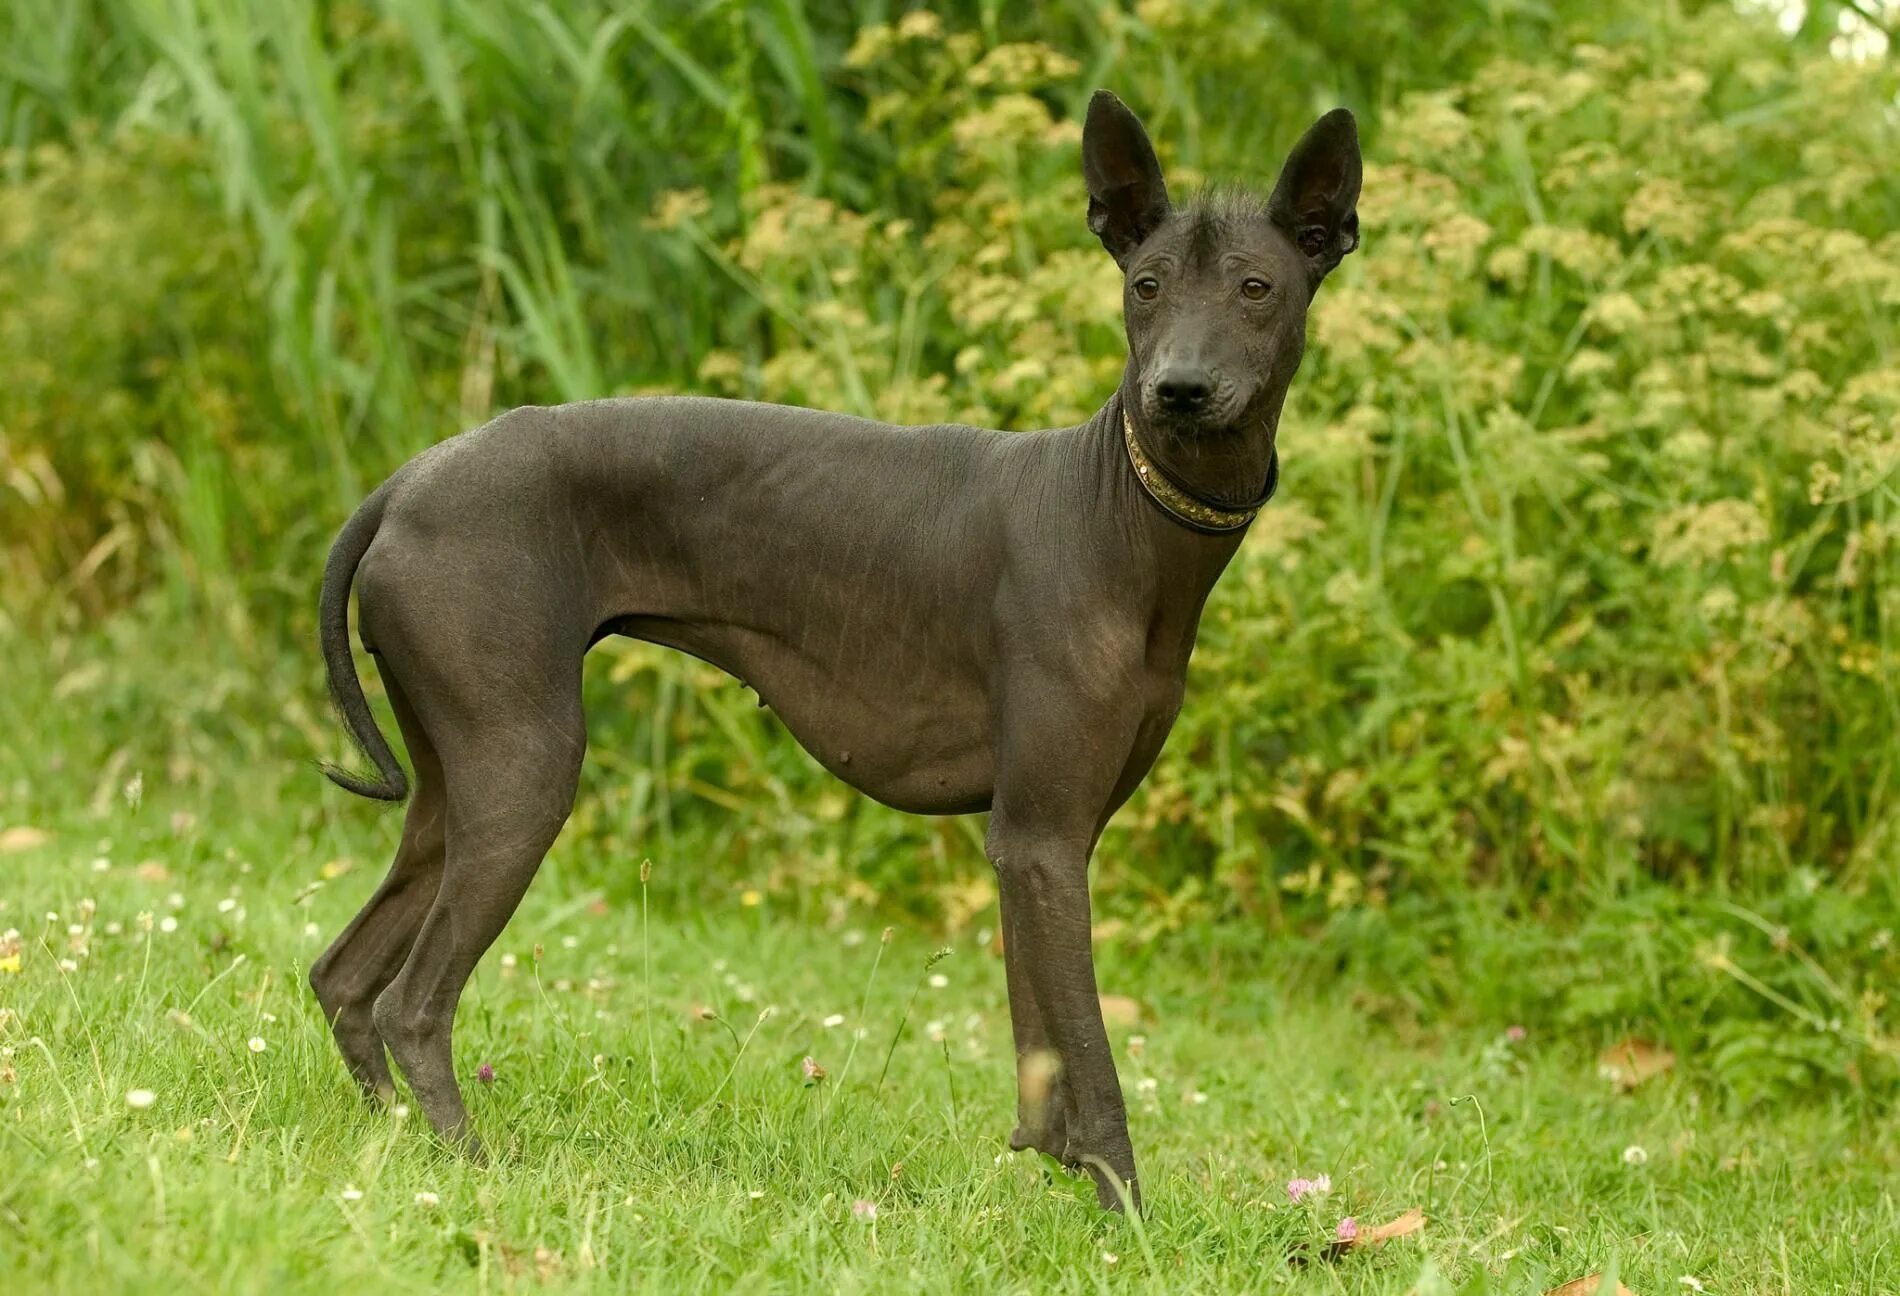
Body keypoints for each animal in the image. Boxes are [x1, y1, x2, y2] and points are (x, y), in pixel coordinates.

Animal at [319, 93, 1368, 1208]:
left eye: (1257, 289)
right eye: (1146, 286)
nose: (1179, 389)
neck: (1118, 512)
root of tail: (408, 480)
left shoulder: (1040, 844)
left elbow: (1041, 1047)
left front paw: (1044, 1178)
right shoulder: (1041, 839)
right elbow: (1093, 1062)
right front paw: (1127, 1216)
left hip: (455, 787)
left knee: (344, 978)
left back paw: (392, 1142)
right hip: (523, 775)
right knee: (412, 1003)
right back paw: (470, 1166)